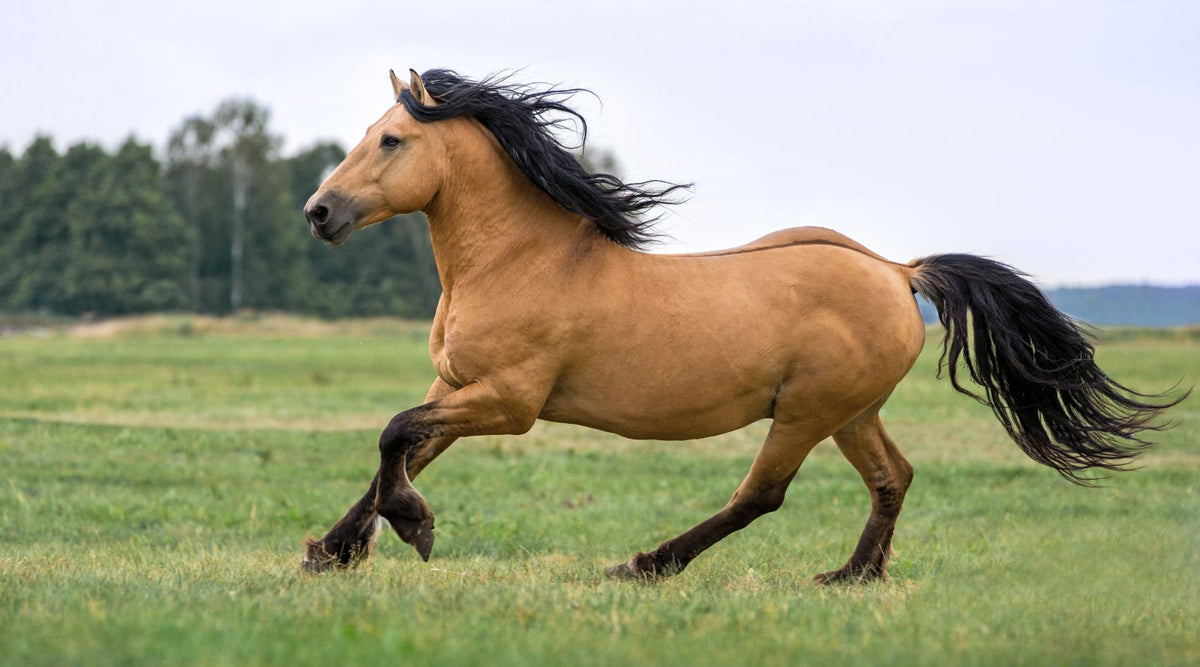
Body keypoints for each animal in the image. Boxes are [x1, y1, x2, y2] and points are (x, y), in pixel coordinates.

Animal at [300, 68, 1185, 583]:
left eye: (392, 139)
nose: (319, 213)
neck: (522, 259)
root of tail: (897, 272)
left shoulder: (509, 401)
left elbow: (393, 434)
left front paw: (411, 528)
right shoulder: (457, 384)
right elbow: (403, 447)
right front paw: (332, 550)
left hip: (805, 411)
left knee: (762, 494)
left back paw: (646, 563)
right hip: (852, 412)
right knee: (892, 477)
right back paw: (853, 575)